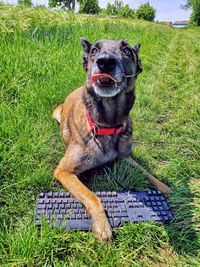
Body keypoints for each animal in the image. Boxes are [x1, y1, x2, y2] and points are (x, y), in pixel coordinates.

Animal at [52, 38, 171, 244]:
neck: (106, 124)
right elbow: (93, 197)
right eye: (94, 50)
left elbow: (147, 173)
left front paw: (166, 188)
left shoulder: (126, 158)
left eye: (127, 50)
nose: (105, 62)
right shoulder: (64, 171)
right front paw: (102, 227)